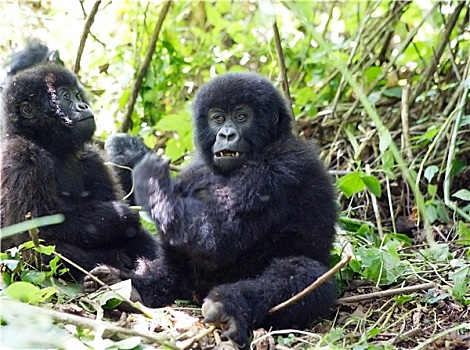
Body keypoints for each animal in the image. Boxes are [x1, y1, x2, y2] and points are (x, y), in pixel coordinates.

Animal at [0, 64, 158, 280]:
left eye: (77, 95)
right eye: (65, 96)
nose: (83, 106)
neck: (50, 146)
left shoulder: (92, 158)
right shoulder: (21, 156)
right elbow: (33, 232)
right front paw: (122, 216)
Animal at [83, 72, 334, 346]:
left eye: (242, 116)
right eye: (218, 118)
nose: (226, 135)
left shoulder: (282, 166)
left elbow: (213, 239)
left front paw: (146, 171)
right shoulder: (194, 172)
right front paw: (129, 152)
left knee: (304, 274)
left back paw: (229, 306)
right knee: (172, 271)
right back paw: (129, 286)